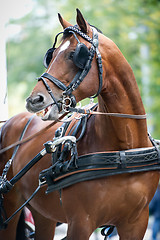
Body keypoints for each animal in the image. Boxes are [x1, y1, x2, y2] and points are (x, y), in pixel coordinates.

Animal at [0, 8, 159, 239]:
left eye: (73, 54)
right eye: (51, 56)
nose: (34, 100)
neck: (124, 147)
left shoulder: (136, 223)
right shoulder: (80, 222)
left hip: (43, 215)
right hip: (10, 208)